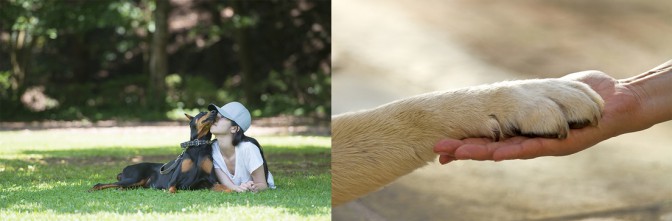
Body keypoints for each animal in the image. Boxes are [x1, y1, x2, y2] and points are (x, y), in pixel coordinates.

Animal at [90, 111, 230, 193]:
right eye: (202, 112)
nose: (215, 111)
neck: (199, 147)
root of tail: (125, 169)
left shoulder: (210, 181)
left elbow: (227, 188)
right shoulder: (173, 181)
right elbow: (172, 189)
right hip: (134, 178)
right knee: (101, 183)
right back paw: (93, 189)